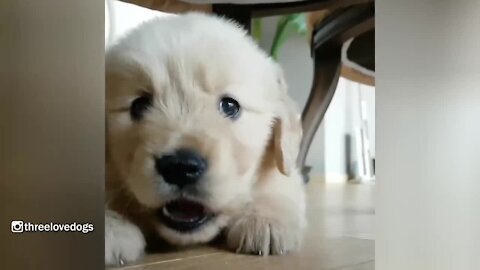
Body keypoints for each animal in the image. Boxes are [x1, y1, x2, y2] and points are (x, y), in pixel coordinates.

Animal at [105, 12, 308, 266]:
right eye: (138, 105)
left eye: (230, 105)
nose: (180, 167)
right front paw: (111, 228)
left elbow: (279, 184)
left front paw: (265, 220)